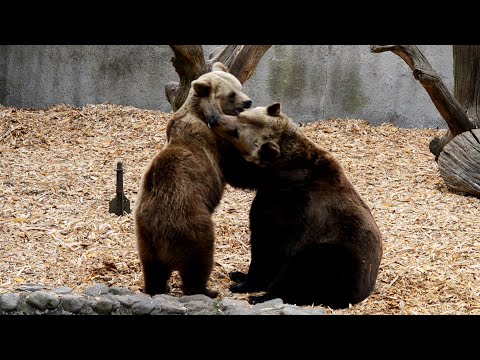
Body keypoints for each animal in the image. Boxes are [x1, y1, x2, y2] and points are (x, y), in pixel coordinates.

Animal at [133, 62, 253, 298]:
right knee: (198, 259)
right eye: (231, 94)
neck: (200, 113)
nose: (248, 102)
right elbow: (238, 169)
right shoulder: (215, 147)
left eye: (240, 86)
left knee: (152, 268)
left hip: (144, 239)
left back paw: (157, 287)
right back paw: (205, 290)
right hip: (190, 224)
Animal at [208, 102, 384, 308]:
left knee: (303, 273)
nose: (214, 119)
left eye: (236, 132)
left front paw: (246, 284)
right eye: (240, 114)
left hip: (337, 255)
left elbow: (266, 245)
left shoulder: (288, 201)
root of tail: (364, 292)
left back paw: (261, 296)